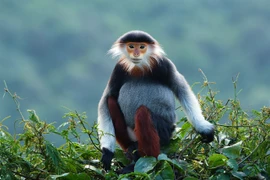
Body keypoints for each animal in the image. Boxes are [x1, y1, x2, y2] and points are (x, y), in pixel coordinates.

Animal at [96, 30, 213, 173]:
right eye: (131, 46)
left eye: (142, 47)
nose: (136, 54)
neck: (139, 67)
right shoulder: (119, 69)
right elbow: (104, 101)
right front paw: (107, 153)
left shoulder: (164, 64)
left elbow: (183, 90)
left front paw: (204, 128)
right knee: (111, 101)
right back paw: (132, 153)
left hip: (165, 132)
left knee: (142, 113)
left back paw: (145, 161)